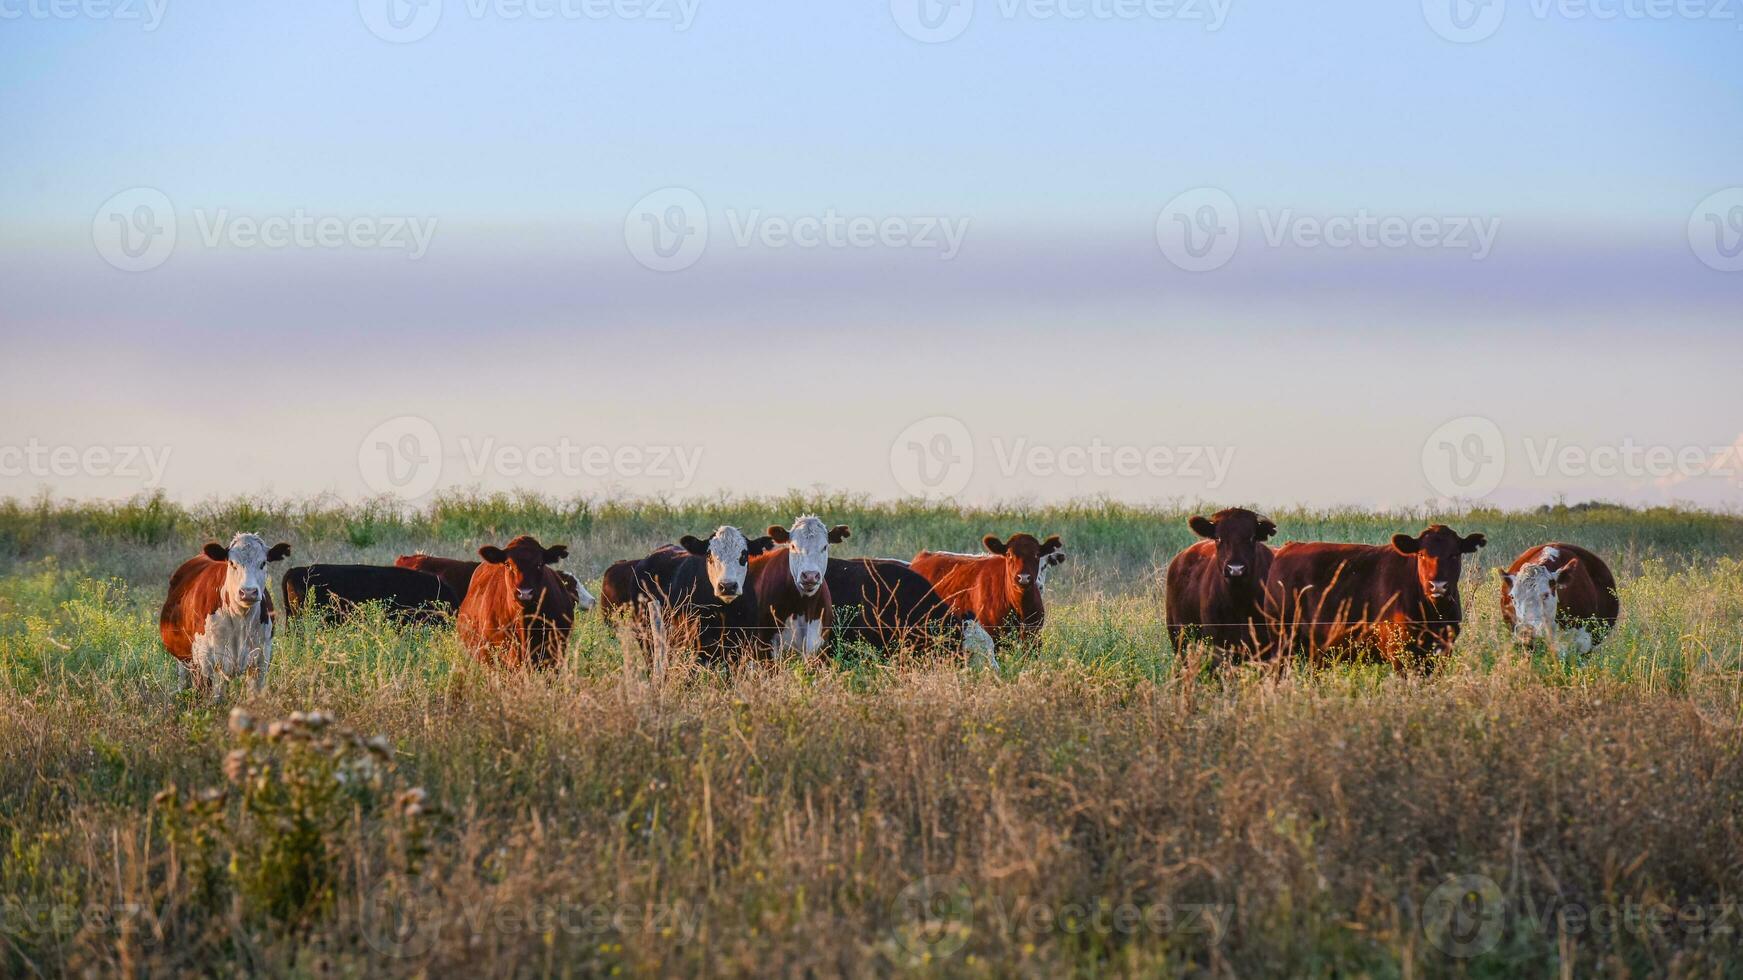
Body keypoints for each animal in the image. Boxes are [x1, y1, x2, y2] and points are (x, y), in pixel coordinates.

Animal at [160, 530, 292, 697]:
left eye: (263, 563)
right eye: (232, 563)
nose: (248, 592)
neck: (240, 620)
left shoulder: (261, 661)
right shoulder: (205, 663)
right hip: (184, 659)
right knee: (183, 680)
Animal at [1164, 505, 1275, 652]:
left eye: (1252, 537)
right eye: (1218, 538)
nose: (1235, 569)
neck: (1239, 601)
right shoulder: (1217, 641)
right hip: (1178, 637)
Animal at [1261, 523, 1492, 666]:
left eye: (1454, 554)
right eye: (1421, 554)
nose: (1438, 586)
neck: (1434, 614)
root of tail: (1289, 548)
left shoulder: (1443, 650)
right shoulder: (1400, 651)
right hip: (1281, 640)